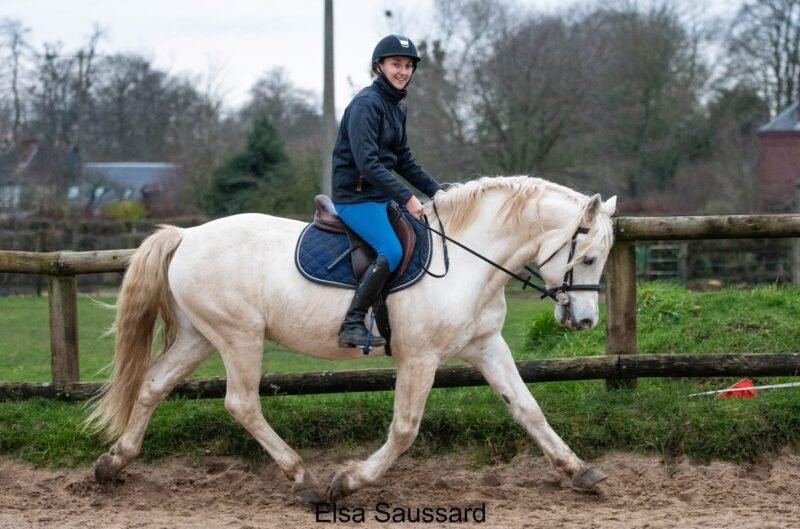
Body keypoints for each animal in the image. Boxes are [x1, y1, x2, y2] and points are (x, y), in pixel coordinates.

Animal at [85, 175, 617, 504]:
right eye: (588, 257)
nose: (586, 321)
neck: (469, 260)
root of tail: (187, 236)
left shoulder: (487, 346)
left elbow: (528, 408)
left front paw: (580, 472)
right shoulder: (419, 358)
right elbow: (404, 430)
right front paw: (349, 482)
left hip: (201, 335)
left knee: (153, 385)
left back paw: (113, 464)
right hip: (239, 336)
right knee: (242, 403)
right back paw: (304, 480)